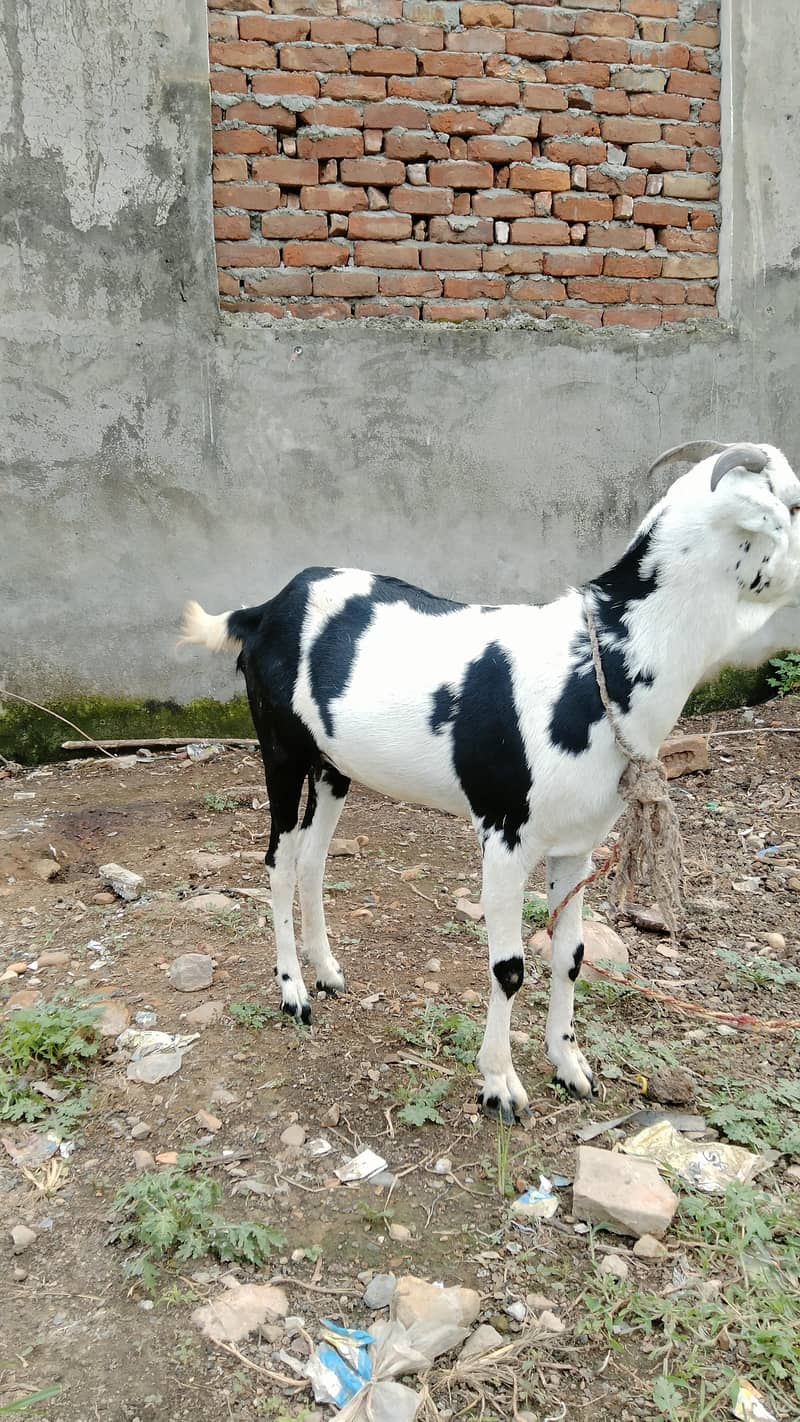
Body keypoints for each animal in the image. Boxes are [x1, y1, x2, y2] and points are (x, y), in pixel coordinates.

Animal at [180, 441, 800, 1123]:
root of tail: (264, 609)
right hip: (282, 752)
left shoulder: (576, 843)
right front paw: (500, 1085)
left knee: (314, 860)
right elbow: (508, 967)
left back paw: (328, 971)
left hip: (334, 767)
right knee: (279, 861)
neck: (597, 664)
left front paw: (570, 1066)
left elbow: (571, 955)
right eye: (794, 506)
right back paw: (294, 992)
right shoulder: (505, 834)